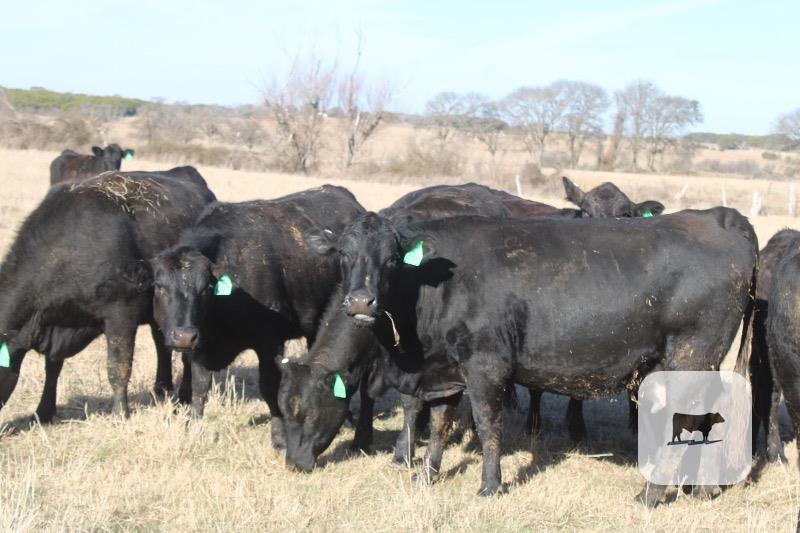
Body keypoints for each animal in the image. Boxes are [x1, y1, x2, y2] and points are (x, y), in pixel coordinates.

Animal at [0, 168, 215, 423]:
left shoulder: (121, 315)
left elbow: (118, 367)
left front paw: (120, 414)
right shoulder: (58, 318)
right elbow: (53, 367)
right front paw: (43, 411)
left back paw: (182, 396)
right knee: (162, 344)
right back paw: (162, 388)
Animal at [149, 185, 365, 449]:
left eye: (206, 288)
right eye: (160, 287)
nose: (183, 336)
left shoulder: (269, 342)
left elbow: (270, 388)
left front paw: (279, 437)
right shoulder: (200, 348)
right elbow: (198, 388)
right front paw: (194, 428)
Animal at [280, 207, 756, 505]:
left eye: (392, 260)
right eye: (344, 255)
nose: (360, 301)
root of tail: (720, 217)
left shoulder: (486, 367)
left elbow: (489, 427)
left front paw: (489, 486)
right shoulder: (446, 371)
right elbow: (440, 424)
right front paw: (427, 474)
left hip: (691, 355)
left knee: (688, 418)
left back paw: (651, 494)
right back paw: (704, 488)